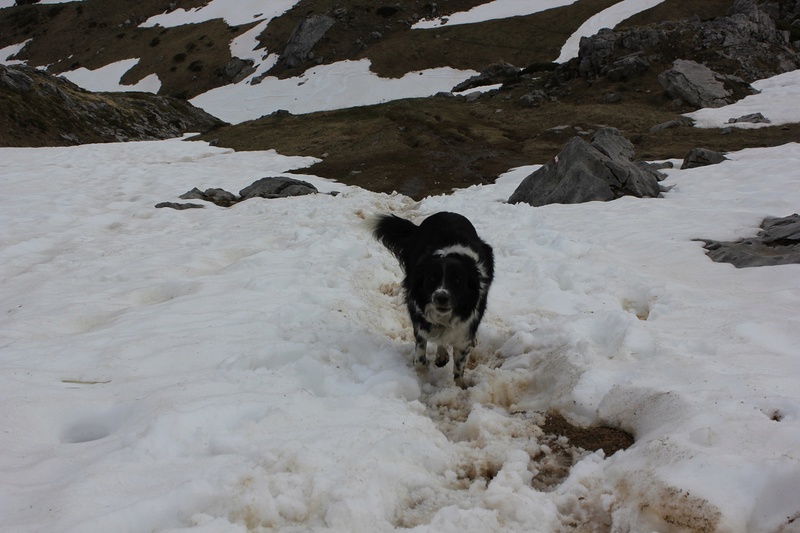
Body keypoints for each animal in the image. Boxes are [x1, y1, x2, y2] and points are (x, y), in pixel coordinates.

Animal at [370, 210, 494, 384]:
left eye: (457, 281)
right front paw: (424, 369)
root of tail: (447, 212)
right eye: (432, 279)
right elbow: (420, 357)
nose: (441, 297)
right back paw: (441, 356)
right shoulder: (419, 318)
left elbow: (459, 365)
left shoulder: (464, 329)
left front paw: (460, 386)